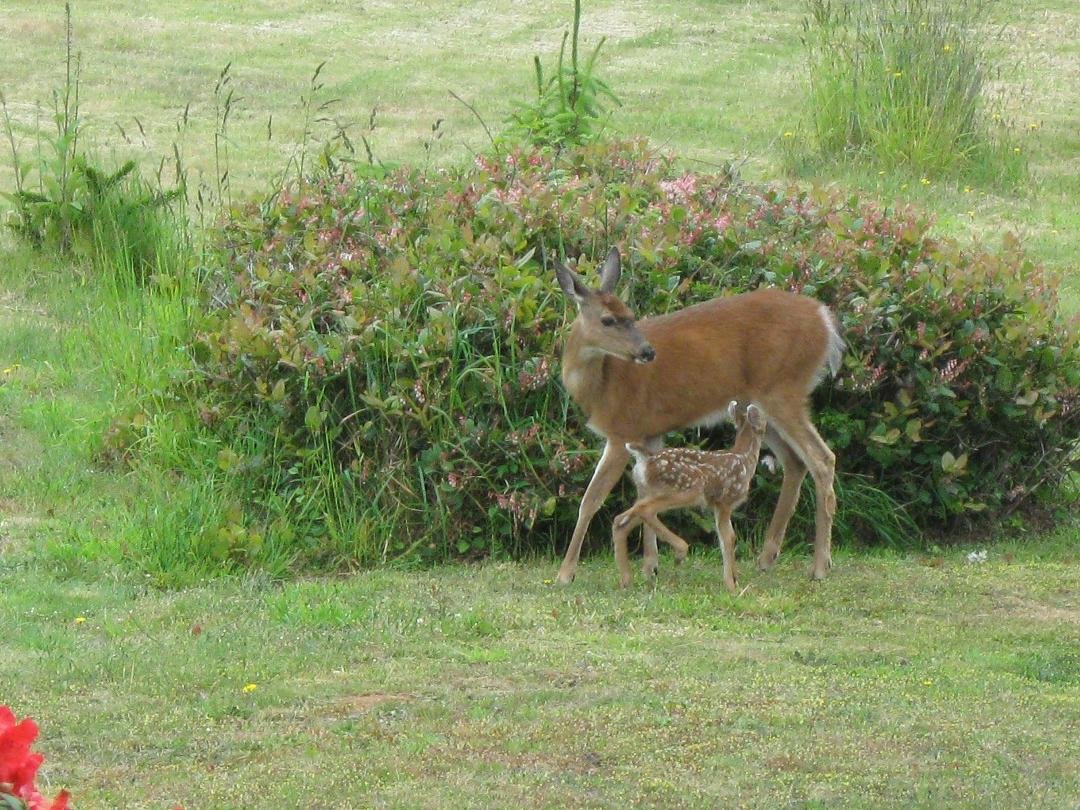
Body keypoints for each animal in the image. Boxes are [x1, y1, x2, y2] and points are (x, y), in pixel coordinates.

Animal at [612, 401, 768, 592]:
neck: (744, 460)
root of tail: (646, 460)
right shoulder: (724, 501)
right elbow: (727, 538)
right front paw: (731, 585)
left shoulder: (717, 505)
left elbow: (729, 537)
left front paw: (735, 579)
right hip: (687, 488)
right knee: (645, 510)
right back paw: (680, 552)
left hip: (648, 492)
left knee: (621, 520)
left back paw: (626, 580)